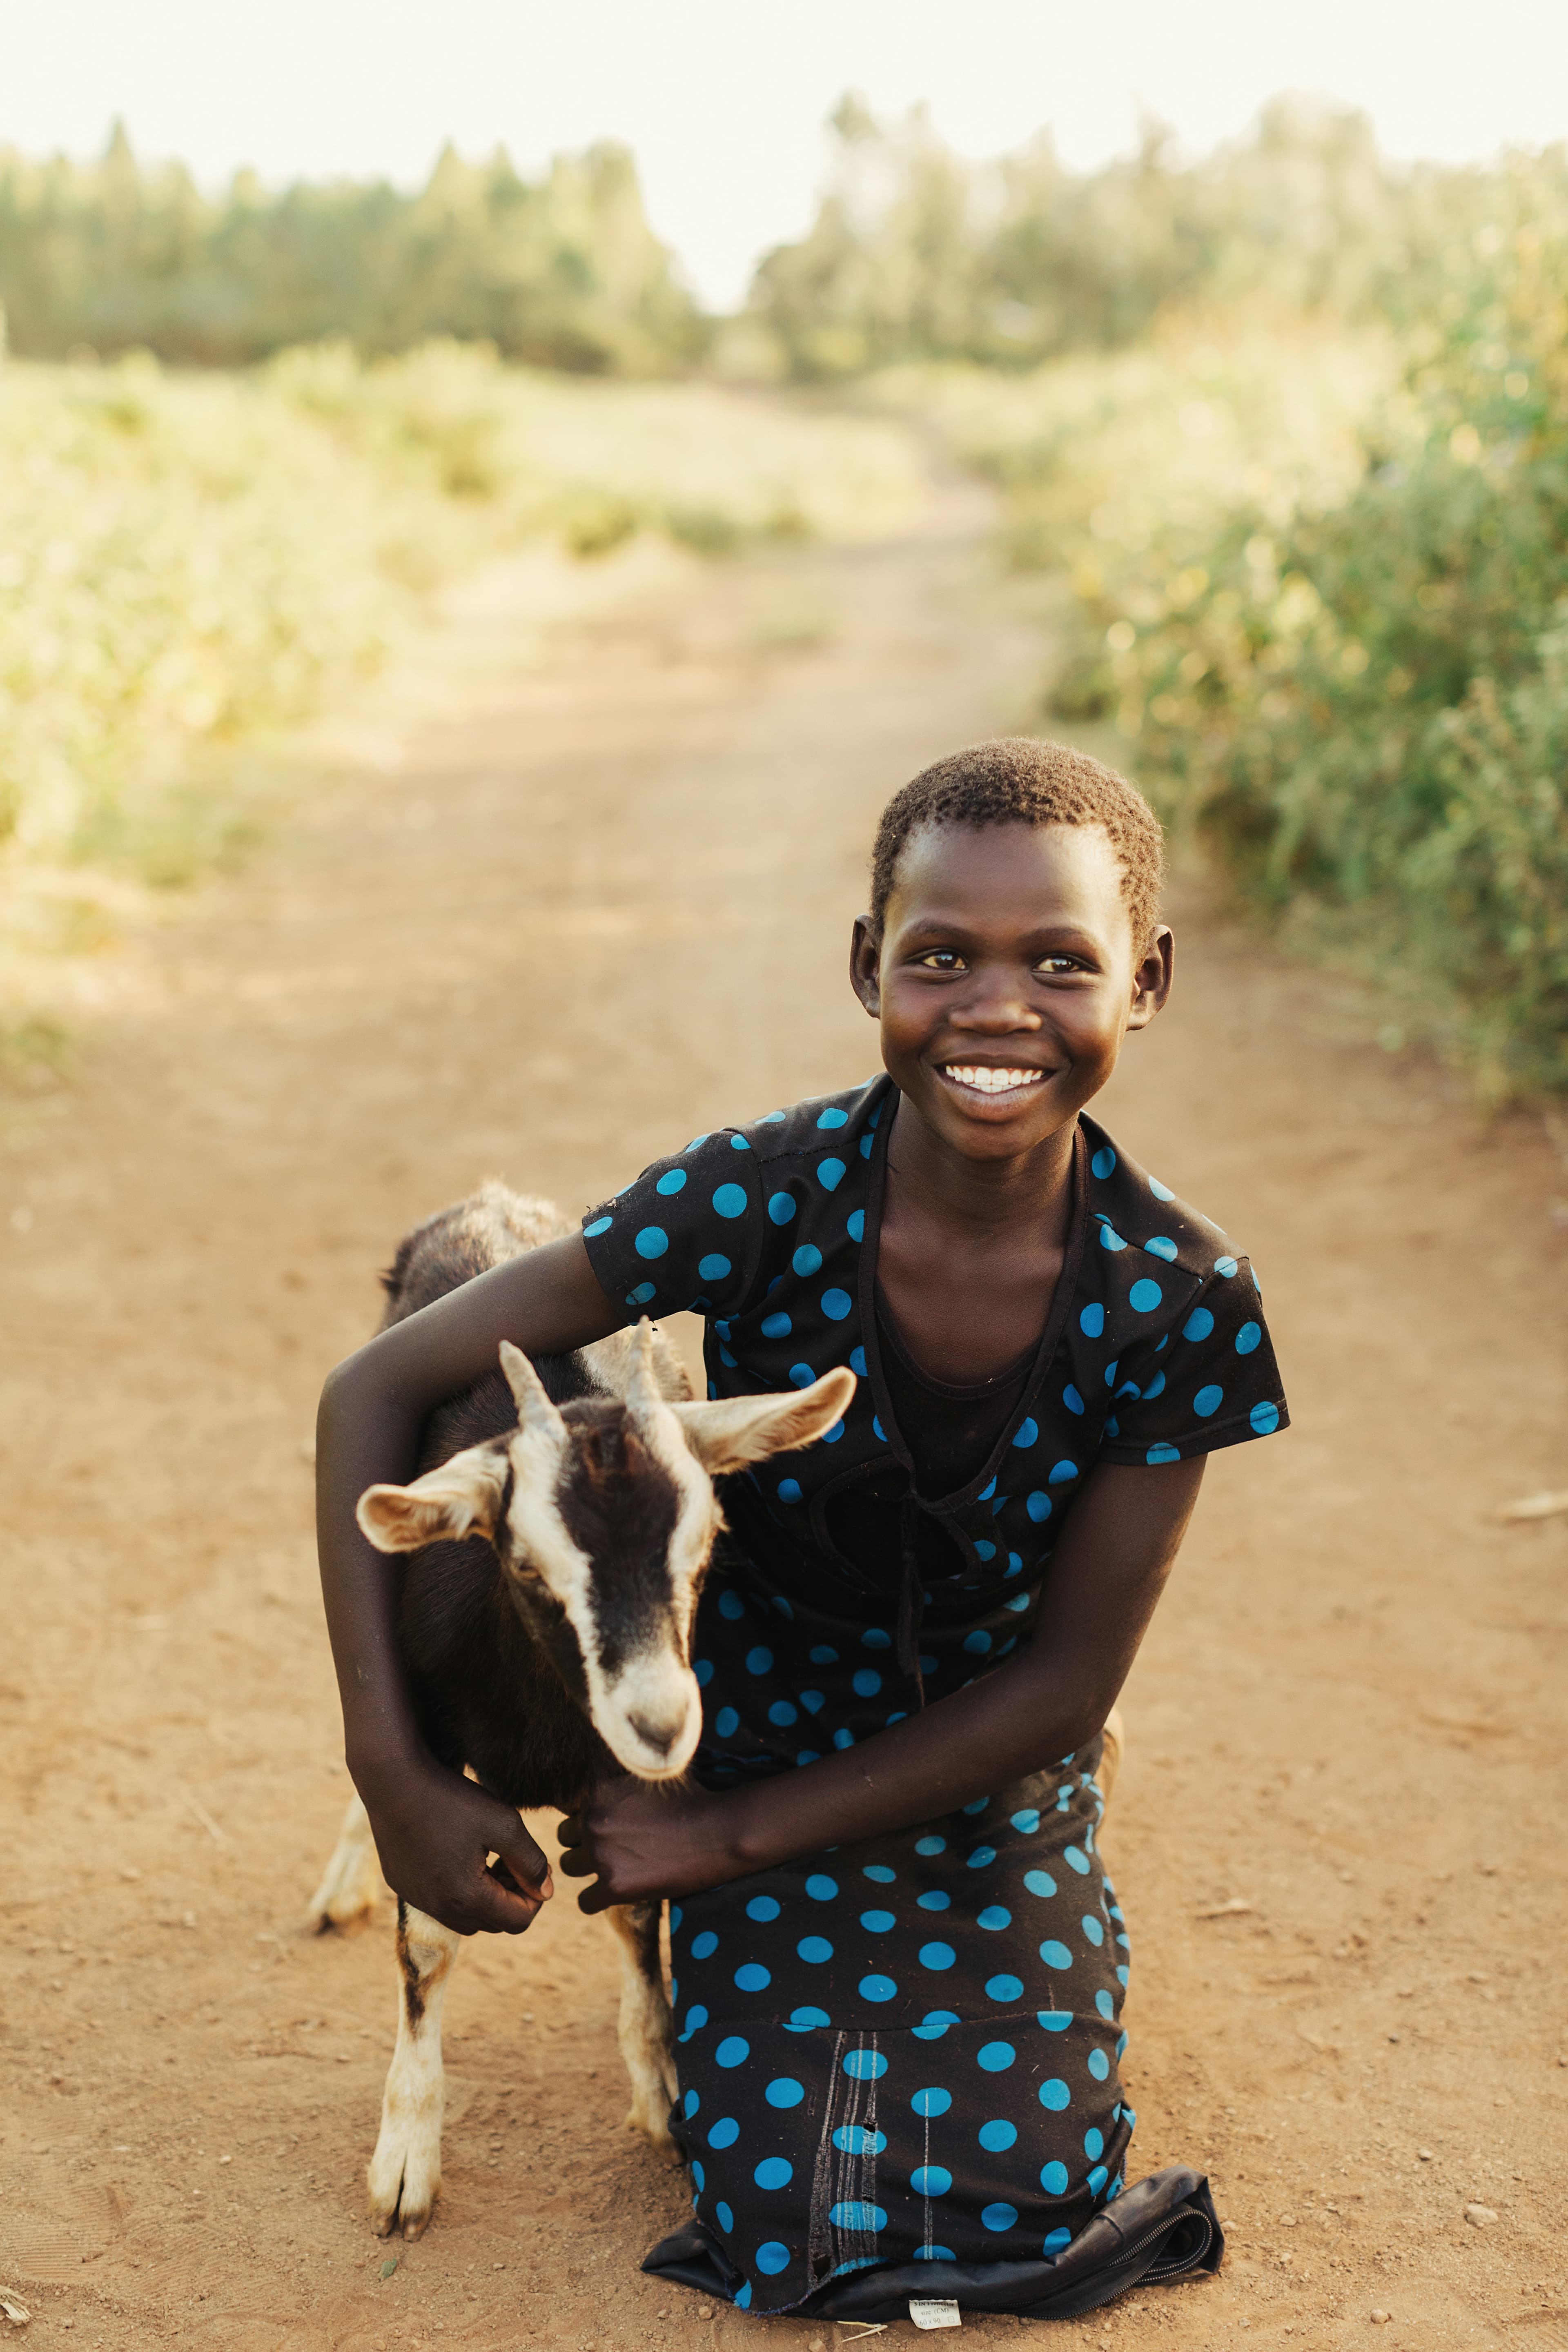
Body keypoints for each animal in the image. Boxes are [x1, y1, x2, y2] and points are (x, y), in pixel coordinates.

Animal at [308, 1182, 853, 2238]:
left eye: (708, 1538)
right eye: (527, 1565)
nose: (660, 1722)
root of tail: (489, 1198)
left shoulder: (621, 1783)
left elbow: (639, 1909)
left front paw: (663, 2090)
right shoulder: (432, 1762)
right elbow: (429, 1931)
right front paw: (405, 2162)